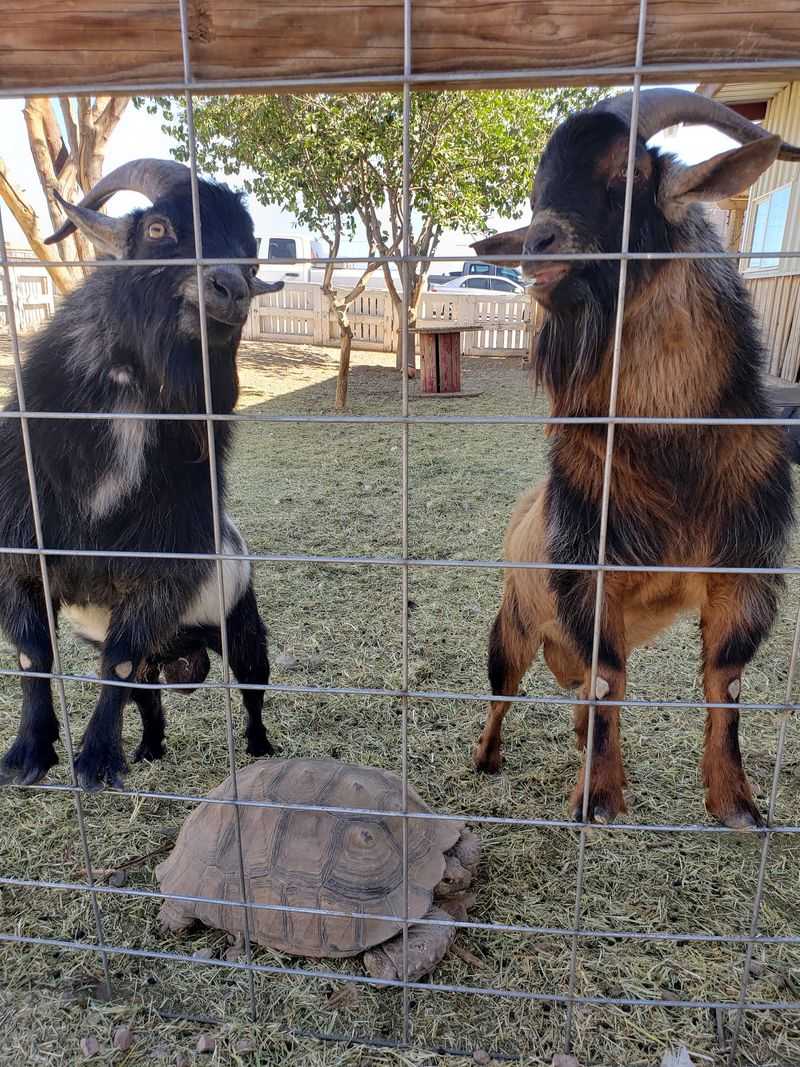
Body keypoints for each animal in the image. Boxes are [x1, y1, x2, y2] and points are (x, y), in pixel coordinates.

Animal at [0, 159, 283, 792]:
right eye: (158, 229)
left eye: (252, 260)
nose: (231, 290)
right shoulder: (17, 557)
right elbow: (34, 657)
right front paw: (27, 755)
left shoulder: (159, 576)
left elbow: (117, 663)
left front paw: (96, 763)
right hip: (168, 656)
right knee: (149, 699)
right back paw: (150, 748)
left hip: (241, 625)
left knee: (251, 688)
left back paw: (260, 747)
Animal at [471, 89, 799, 829]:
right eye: (537, 187)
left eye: (626, 172)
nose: (536, 245)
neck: (672, 457)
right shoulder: (587, 575)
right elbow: (610, 675)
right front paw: (598, 798)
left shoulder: (743, 570)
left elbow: (725, 680)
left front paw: (737, 805)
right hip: (512, 622)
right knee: (506, 691)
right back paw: (485, 756)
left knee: (575, 692)